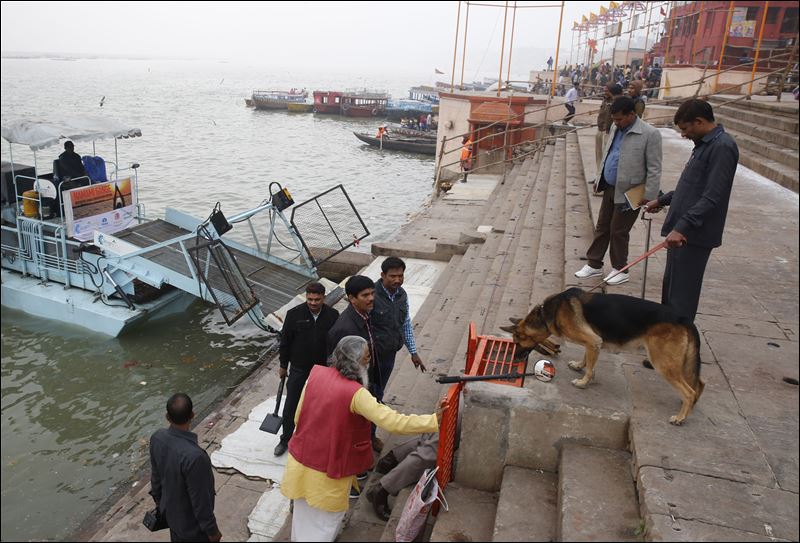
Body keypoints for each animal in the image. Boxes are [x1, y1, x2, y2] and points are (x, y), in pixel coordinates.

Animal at [504, 288, 704, 424]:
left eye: (517, 341)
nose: (514, 359)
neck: (546, 314)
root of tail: (684, 319)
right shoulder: (593, 342)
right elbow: (587, 357)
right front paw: (579, 366)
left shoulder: (593, 340)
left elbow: (590, 366)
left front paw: (583, 382)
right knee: (699, 385)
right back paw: (689, 407)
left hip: (663, 363)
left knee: (690, 391)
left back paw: (680, 417)